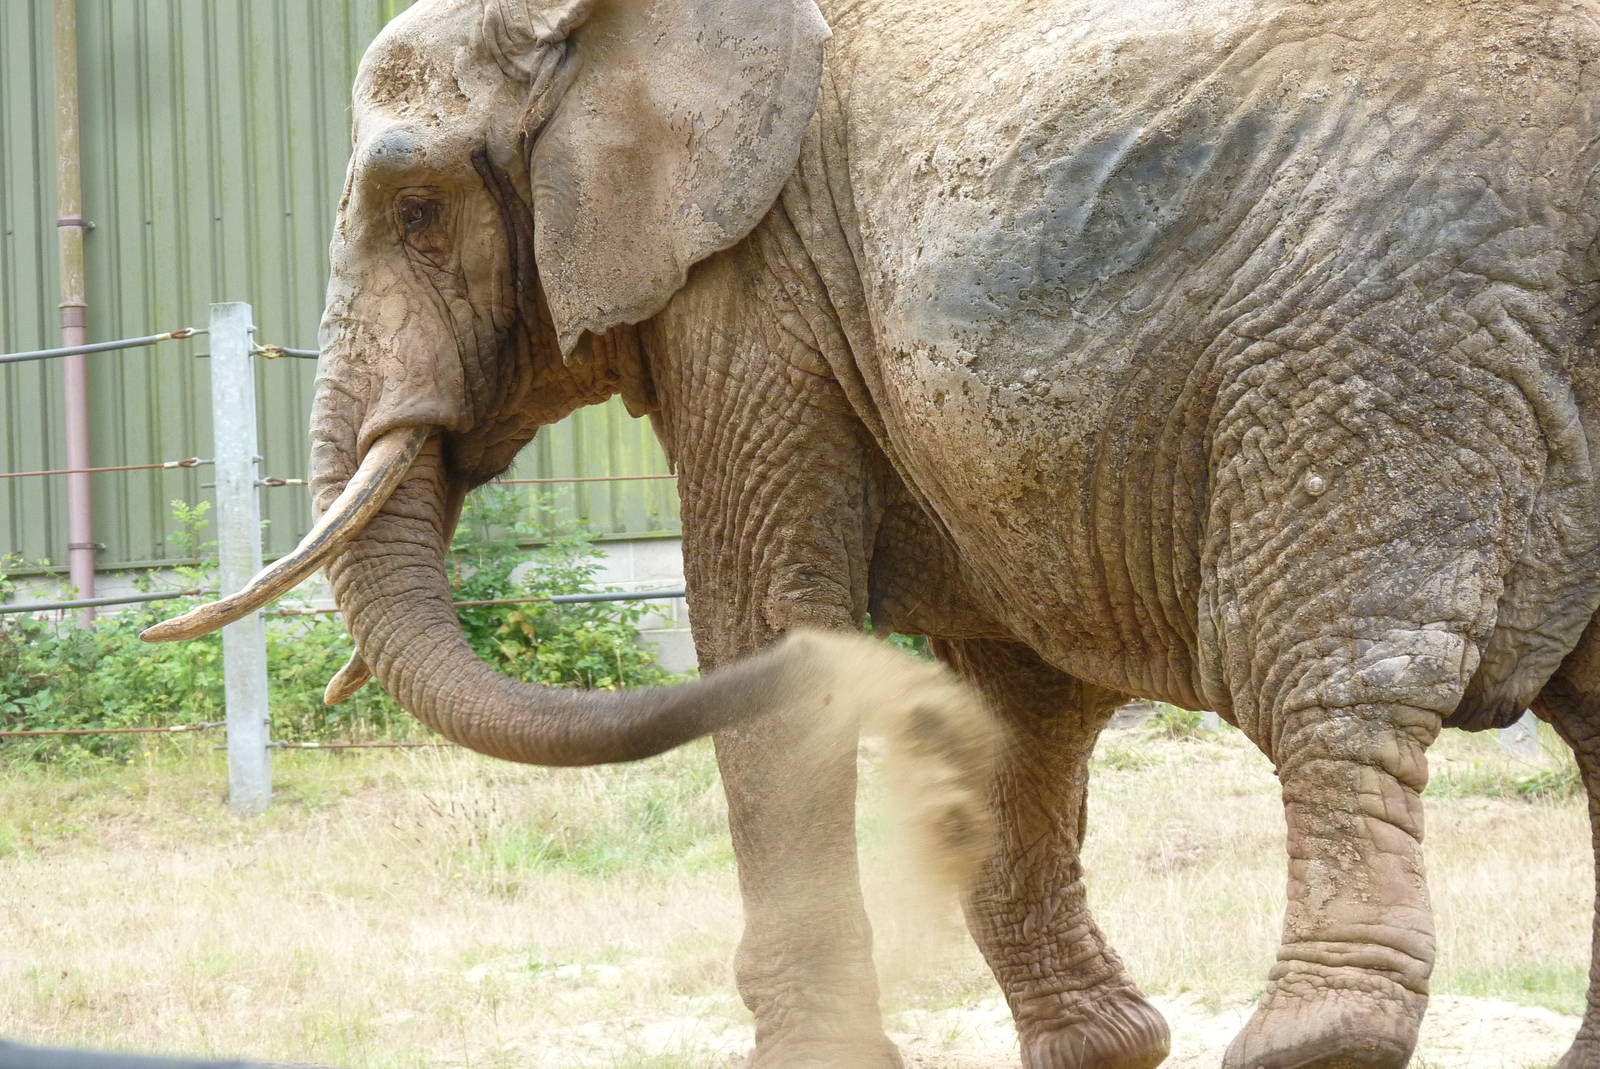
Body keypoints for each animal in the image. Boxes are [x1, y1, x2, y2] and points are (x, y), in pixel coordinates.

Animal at [142, 0, 1600, 1065]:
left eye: (417, 211)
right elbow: (1019, 693)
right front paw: (1100, 1047)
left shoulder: (755, 289)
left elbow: (760, 614)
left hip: (1369, 341)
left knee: (1324, 679)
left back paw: (1313, 1041)